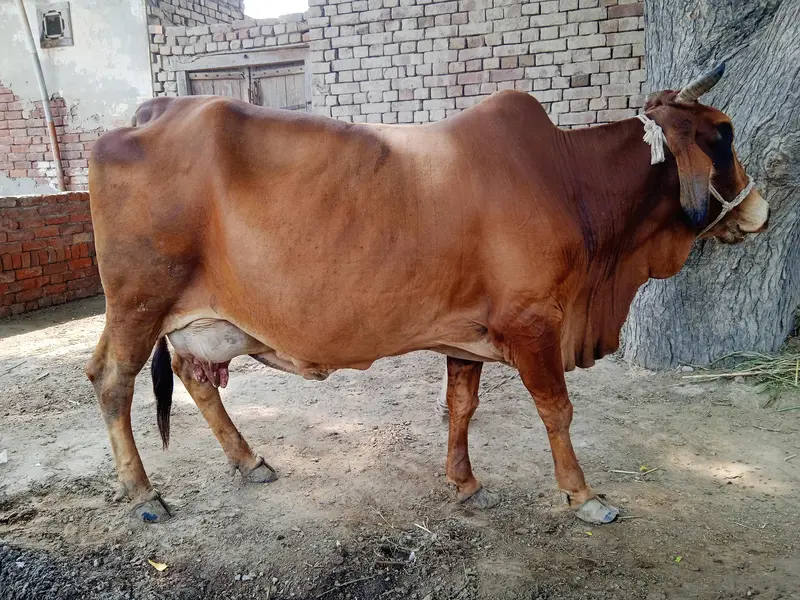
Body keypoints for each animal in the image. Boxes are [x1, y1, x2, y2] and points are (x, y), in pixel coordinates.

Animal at [85, 63, 769, 525]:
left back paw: (249, 461)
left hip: (187, 317)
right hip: (139, 303)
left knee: (190, 379)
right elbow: (557, 410)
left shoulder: (466, 336)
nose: (760, 209)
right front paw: (584, 495)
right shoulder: (533, 324)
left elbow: (461, 407)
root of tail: (151, 113)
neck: (572, 181)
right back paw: (145, 494)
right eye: (723, 133)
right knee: (112, 381)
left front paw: (463, 483)